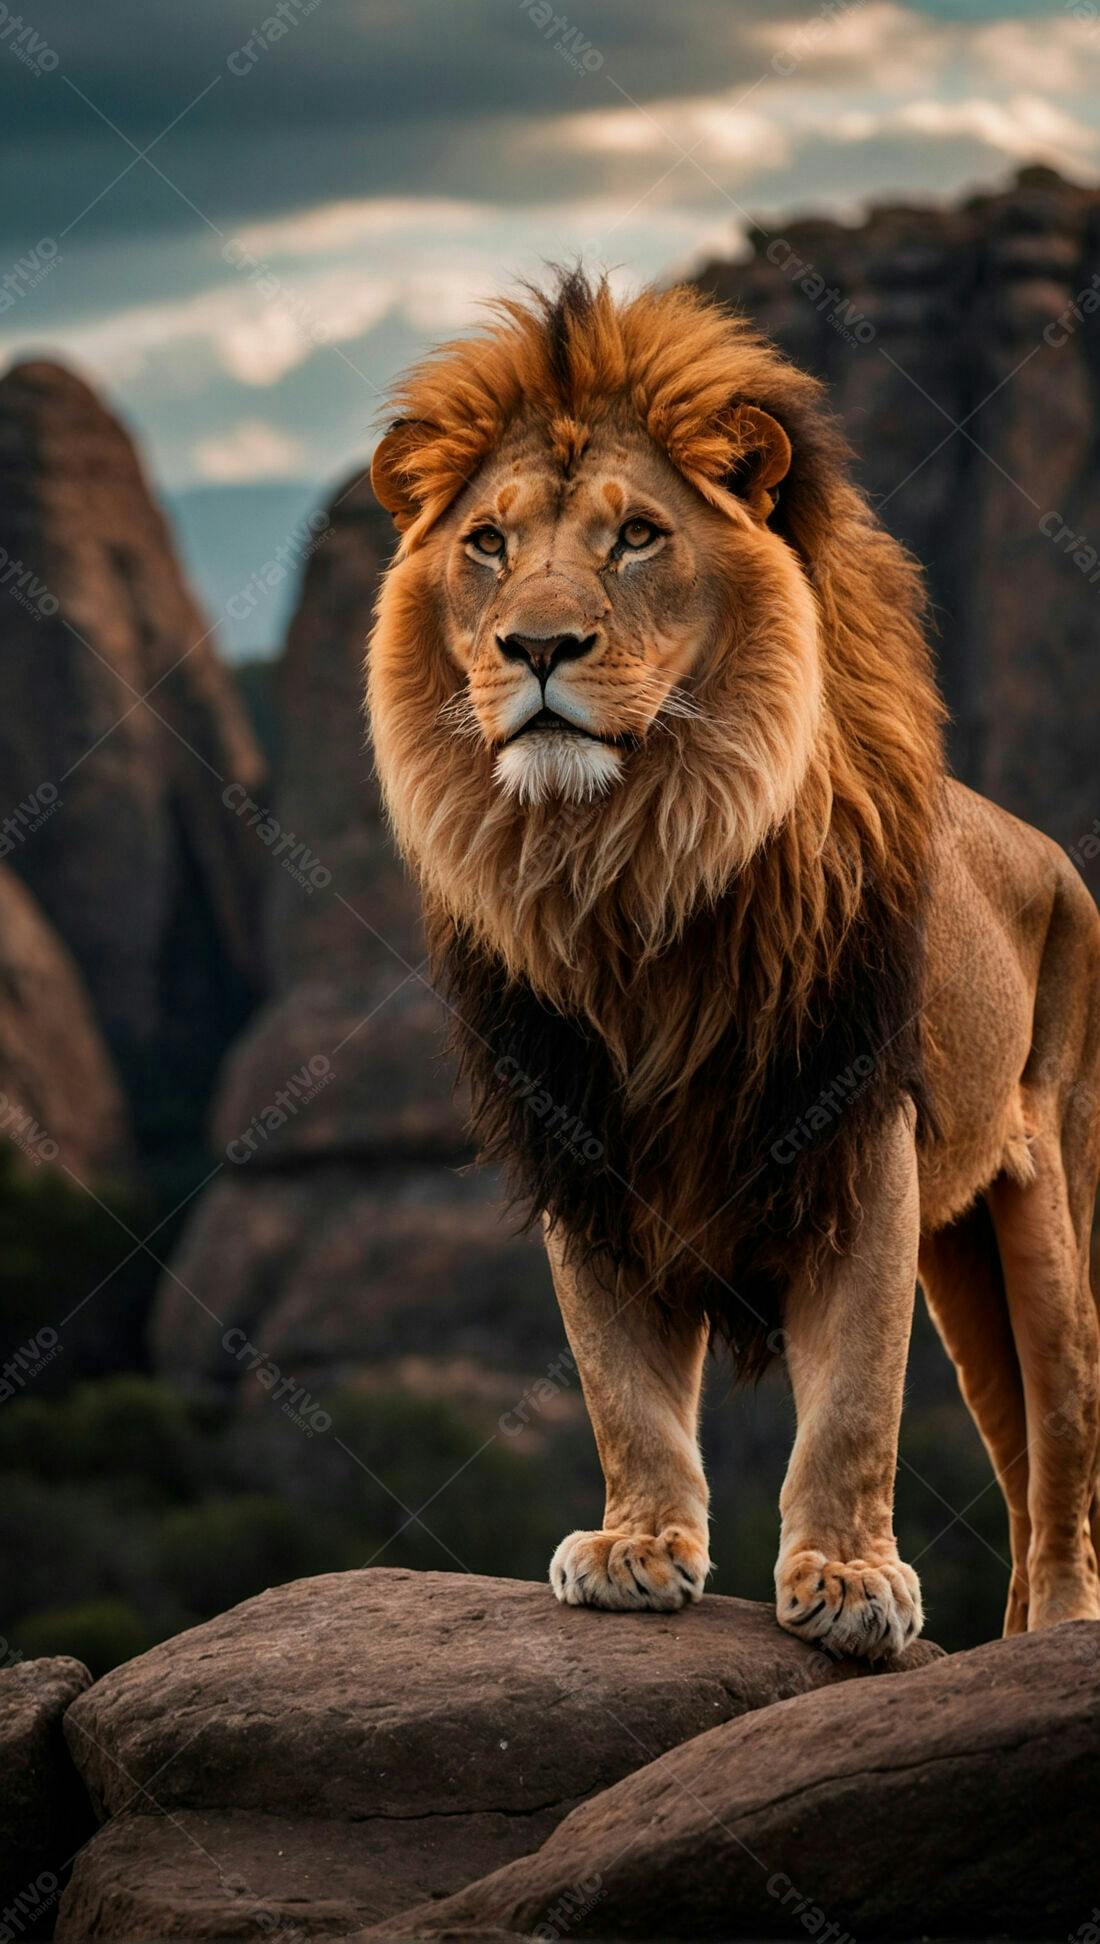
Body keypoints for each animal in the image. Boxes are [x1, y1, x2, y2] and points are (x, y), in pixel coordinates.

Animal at [367, 270, 1100, 1659]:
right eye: (486, 544)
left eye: (636, 537)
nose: (533, 647)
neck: (629, 868)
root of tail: (1044, 848)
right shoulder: (583, 1150)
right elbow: (621, 1387)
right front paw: (638, 1546)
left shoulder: (852, 1132)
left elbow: (856, 1395)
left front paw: (849, 1578)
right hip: (962, 1252)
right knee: (1016, 1450)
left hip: (1049, 1213)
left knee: (1065, 1451)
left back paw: (1060, 1630)